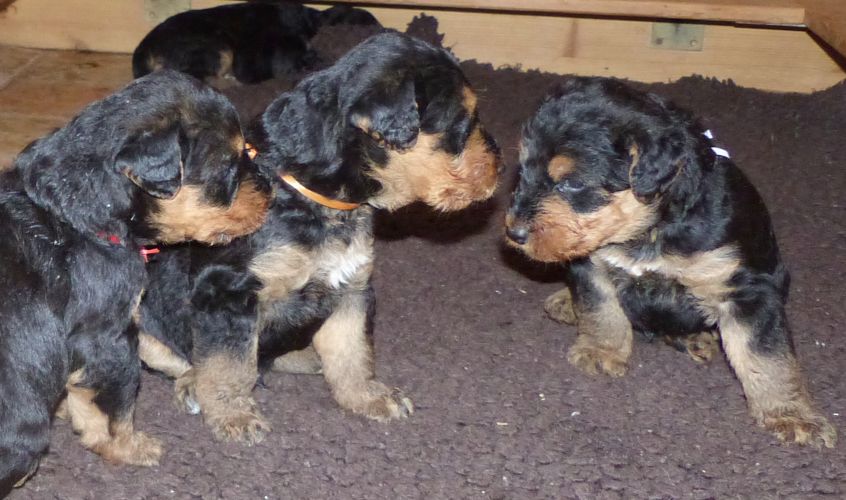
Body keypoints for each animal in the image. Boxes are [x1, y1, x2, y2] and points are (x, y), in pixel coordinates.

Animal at [0, 70, 270, 494]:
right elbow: (116, 402)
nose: (271, 189)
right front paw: (132, 448)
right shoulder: (105, 333)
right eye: (228, 166)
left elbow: (156, 347)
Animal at [136, 32, 501, 443]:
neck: (314, 194)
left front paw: (367, 397)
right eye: (462, 120)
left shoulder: (351, 286)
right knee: (180, 361)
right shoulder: (226, 292)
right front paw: (234, 416)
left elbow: (352, 352)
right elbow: (229, 364)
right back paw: (192, 385)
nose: (501, 165)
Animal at [505, 77, 836, 448]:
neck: (650, 230)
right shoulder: (591, 265)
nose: (514, 232)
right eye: (523, 170)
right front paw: (602, 352)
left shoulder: (747, 289)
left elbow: (767, 356)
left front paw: (791, 416)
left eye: (573, 183)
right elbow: (601, 312)